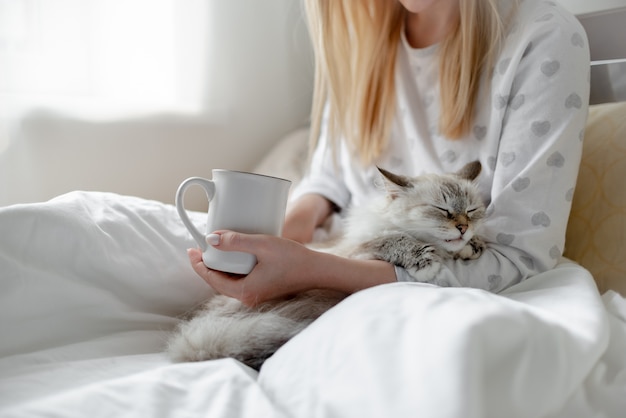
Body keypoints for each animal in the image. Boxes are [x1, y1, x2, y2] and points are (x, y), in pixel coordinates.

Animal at [168, 160, 486, 370]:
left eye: (471, 211)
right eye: (442, 210)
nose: (462, 227)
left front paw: (471, 245)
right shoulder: (357, 249)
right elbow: (392, 240)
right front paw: (426, 258)